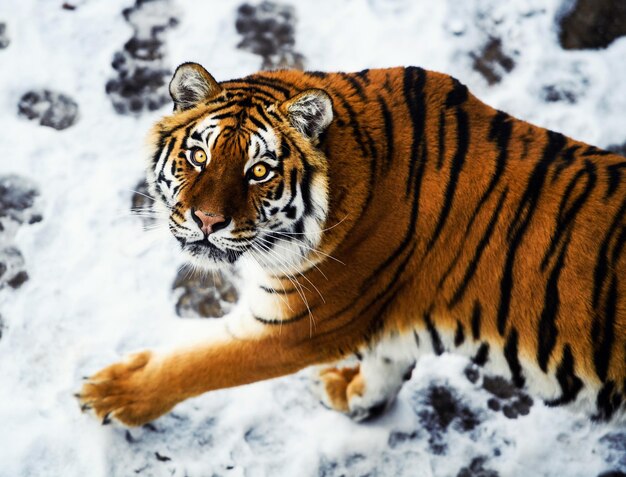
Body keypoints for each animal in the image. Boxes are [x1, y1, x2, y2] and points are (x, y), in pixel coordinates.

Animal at [78, 62, 624, 424]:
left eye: (259, 171)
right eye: (198, 157)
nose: (207, 220)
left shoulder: (296, 327)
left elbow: (198, 362)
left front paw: (114, 394)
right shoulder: (390, 323)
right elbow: (386, 361)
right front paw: (354, 394)